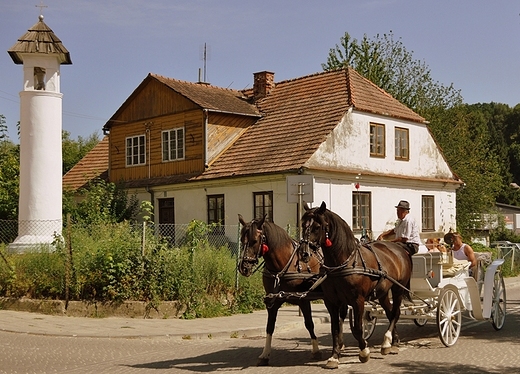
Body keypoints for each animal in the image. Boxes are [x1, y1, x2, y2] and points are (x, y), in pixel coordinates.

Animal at [238, 215, 322, 366]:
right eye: (242, 240)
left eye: (254, 241)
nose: (243, 267)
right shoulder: (273, 300)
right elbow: (269, 326)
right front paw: (265, 354)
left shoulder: (303, 300)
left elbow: (309, 323)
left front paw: (316, 350)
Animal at [298, 202, 412, 368]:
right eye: (303, 225)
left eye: (317, 227)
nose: (304, 253)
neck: (343, 263)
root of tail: (399, 248)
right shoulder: (331, 302)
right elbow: (335, 329)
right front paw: (334, 356)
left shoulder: (358, 300)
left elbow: (358, 328)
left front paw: (364, 352)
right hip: (383, 293)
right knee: (390, 313)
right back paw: (392, 341)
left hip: (397, 289)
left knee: (395, 313)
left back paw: (386, 342)